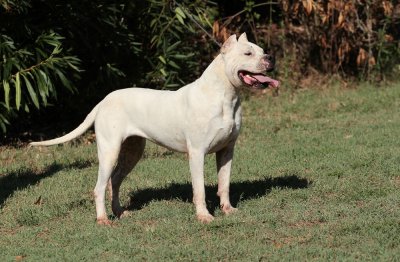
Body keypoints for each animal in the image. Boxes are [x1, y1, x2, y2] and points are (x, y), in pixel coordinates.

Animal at [30, 33, 278, 225]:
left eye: (261, 51)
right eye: (248, 54)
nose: (270, 57)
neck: (224, 95)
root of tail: (103, 101)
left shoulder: (226, 151)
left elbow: (224, 184)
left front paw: (228, 210)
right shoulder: (197, 153)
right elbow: (199, 189)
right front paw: (203, 216)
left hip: (132, 151)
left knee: (115, 181)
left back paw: (120, 212)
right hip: (109, 151)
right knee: (99, 187)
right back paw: (103, 219)